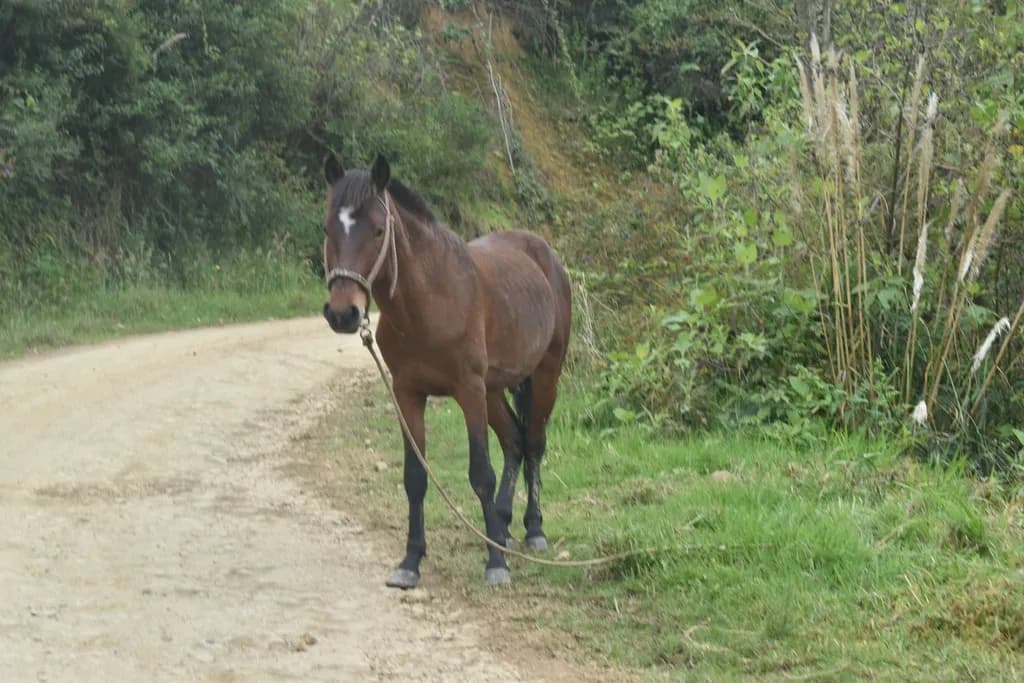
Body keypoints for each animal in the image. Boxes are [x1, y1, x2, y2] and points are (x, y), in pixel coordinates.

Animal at [321, 154, 572, 588]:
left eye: (378, 230)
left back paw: (532, 529)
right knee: (514, 441)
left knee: (534, 444)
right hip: (494, 389)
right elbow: (415, 477)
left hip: (543, 377)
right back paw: (501, 526)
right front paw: (410, 561)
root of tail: (545, 256)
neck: (430, 299)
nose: (343, 313)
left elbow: (481, 474)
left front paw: (496, 565)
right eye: (327, 228)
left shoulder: (468, 390)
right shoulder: (407, 393)